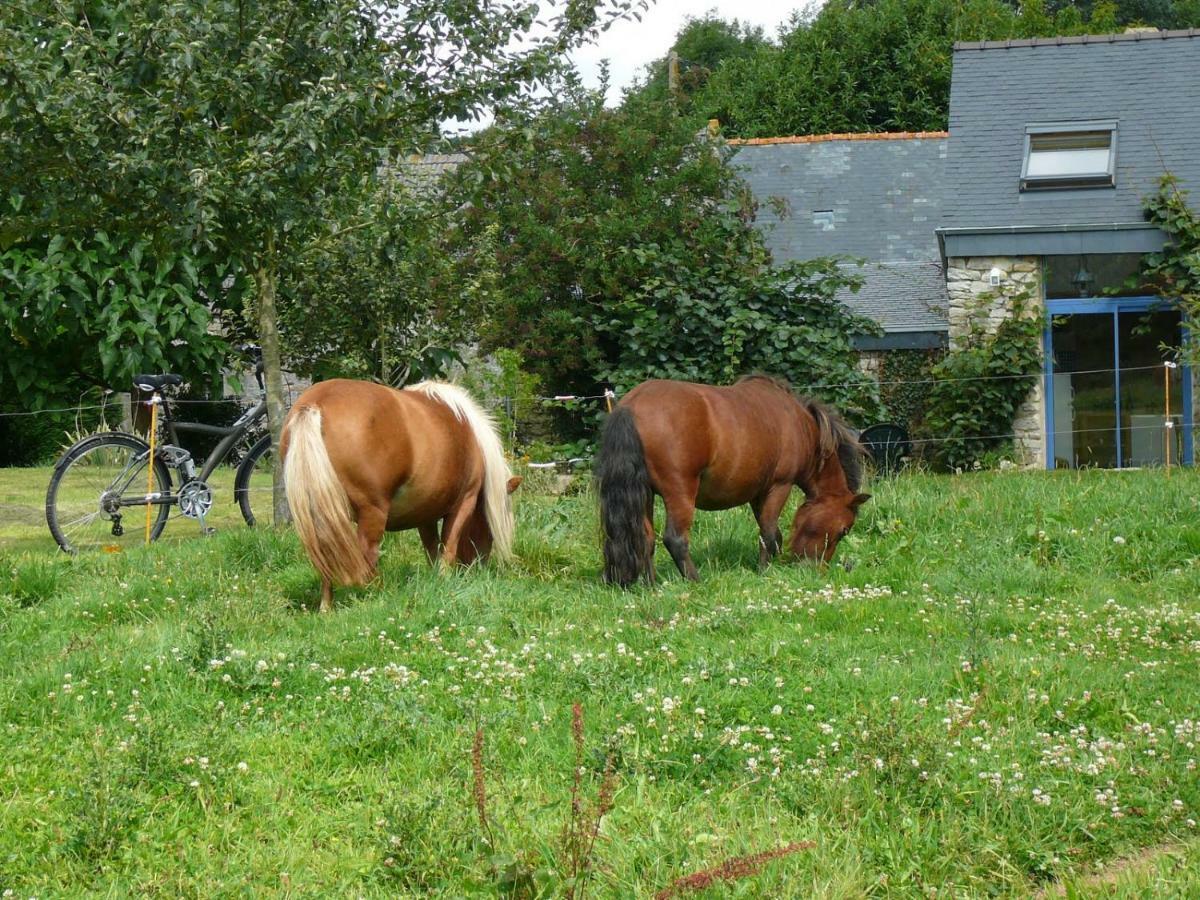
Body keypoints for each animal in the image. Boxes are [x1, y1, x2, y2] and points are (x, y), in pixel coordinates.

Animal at [285, 381, 525, 614]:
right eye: (487, 525)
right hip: (372, 513)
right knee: (365, 556)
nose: (478, 566)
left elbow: (432, 549)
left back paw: (326, 606)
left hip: (324, 516)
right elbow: (448, 547)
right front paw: (445, 581)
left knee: (327, 555)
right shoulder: (464, 503)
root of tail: (316, 404)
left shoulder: (425, 514)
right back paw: (375, 594)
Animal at [595, 376, 868, 588]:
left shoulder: (759, 493)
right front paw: (765, 572)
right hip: (680, 492)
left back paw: (651, 586)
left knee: (646, 538)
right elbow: (768, 532)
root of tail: (631, 406)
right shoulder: (779, 486)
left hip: (646, 495)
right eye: (844, 530)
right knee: (675, 539)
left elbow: (772, 533)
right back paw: (695, 581)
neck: (803, 427)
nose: (816, 568)